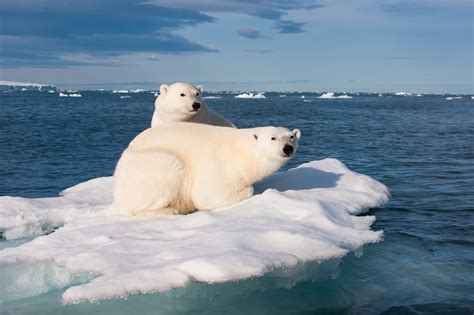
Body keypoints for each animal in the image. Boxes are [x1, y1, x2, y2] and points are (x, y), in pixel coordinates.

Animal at [113, 123, 302, 217]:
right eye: (273, 138)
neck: (243, 151)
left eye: (291, 136)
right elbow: (206, 195)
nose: (287, 148)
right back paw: (171, 210)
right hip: (152, 165)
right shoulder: (222, 164)